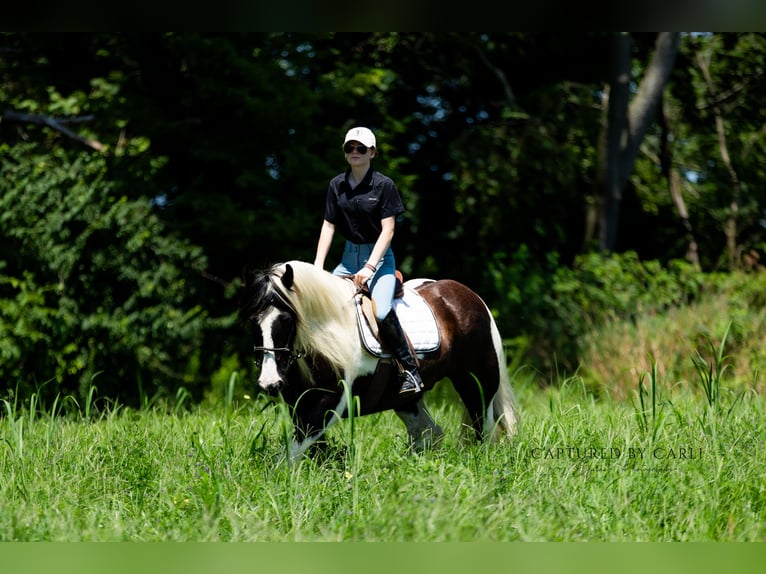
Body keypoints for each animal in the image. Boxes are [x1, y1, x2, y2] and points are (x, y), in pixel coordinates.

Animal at [239, 260, 519, 462]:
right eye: (253, 321)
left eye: (286, 320)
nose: (269, 383)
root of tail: (471, 297)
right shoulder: (299, 404)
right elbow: (309, 452)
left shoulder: (327, 404)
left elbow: (288, 458)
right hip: (405, 399)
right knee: (429, 434)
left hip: (477, 384)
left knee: (483, 431)